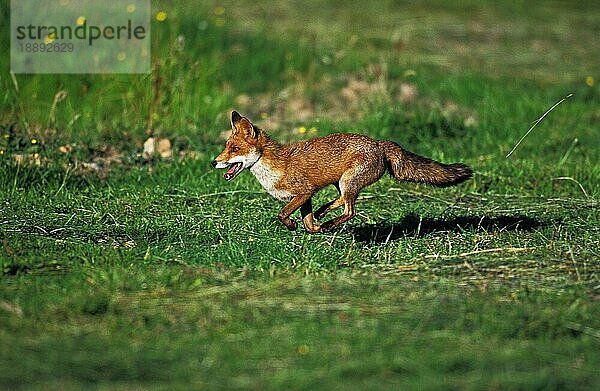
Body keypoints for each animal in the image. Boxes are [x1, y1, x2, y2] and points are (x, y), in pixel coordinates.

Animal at [213, 111, 472, 233]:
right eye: (226, 147)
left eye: (234, 149)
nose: (214, 162)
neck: (275, 167)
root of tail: (379, 143)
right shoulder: (308, 196)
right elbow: (307, 221)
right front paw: (314, 228)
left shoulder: (303, 192)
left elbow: (282, 214)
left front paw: (294, 226)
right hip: (342, 183)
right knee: (342, 202)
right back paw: (324, 214)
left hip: (348, 181)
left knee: (350, 210)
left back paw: (330, 222)